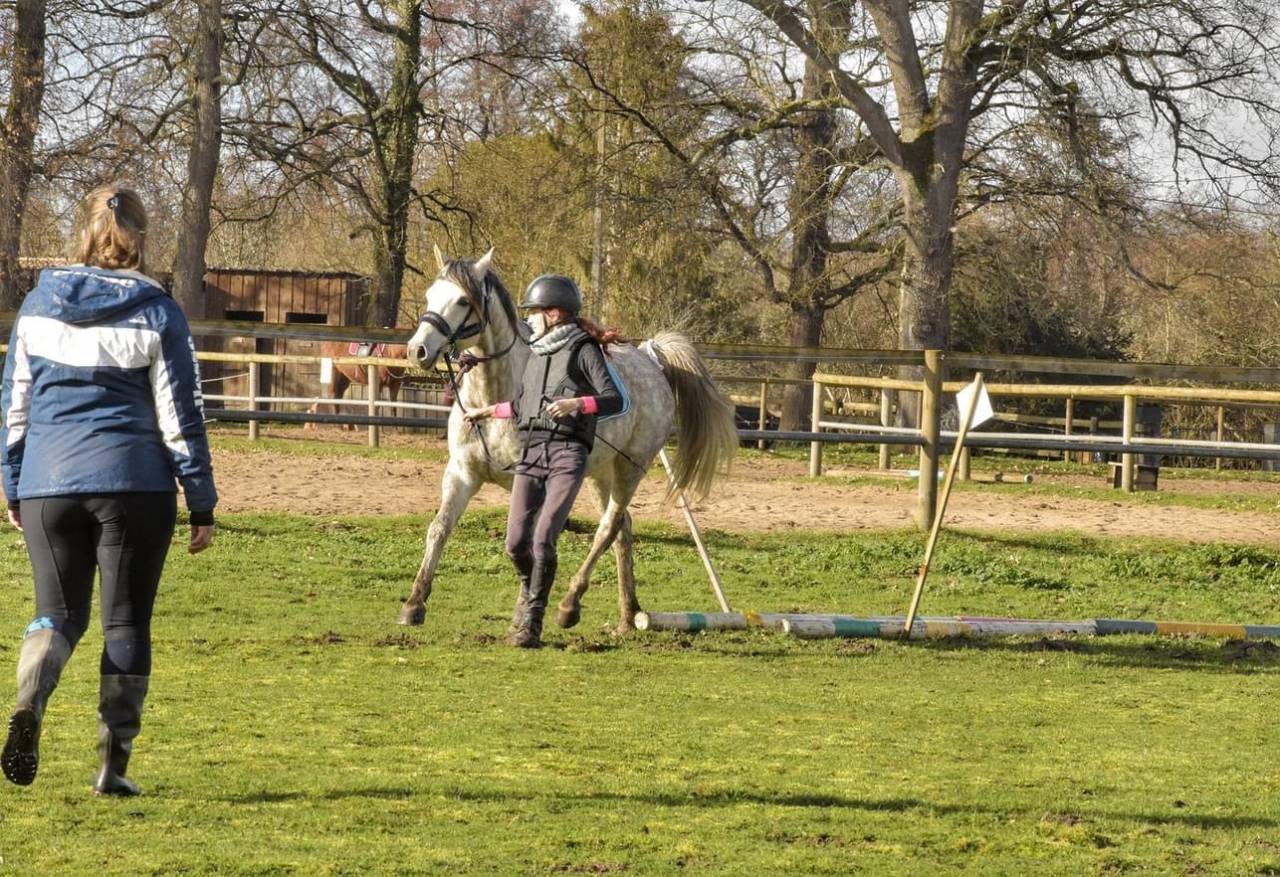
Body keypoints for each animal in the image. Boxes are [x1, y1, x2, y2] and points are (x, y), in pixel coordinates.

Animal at [397, 246, 738, 634]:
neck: (496, 395)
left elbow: (528, 545)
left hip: (630, 470)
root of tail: (651, 361)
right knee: (622, 529)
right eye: (429, 296)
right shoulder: (461, 474)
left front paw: (525, 611)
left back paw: (570, 604)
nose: (417, 351)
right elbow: (439, 529)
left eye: (462, 301)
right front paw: (414, 603)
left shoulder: (531, 481)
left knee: (607, 528)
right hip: (599, 474)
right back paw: (627, 614)